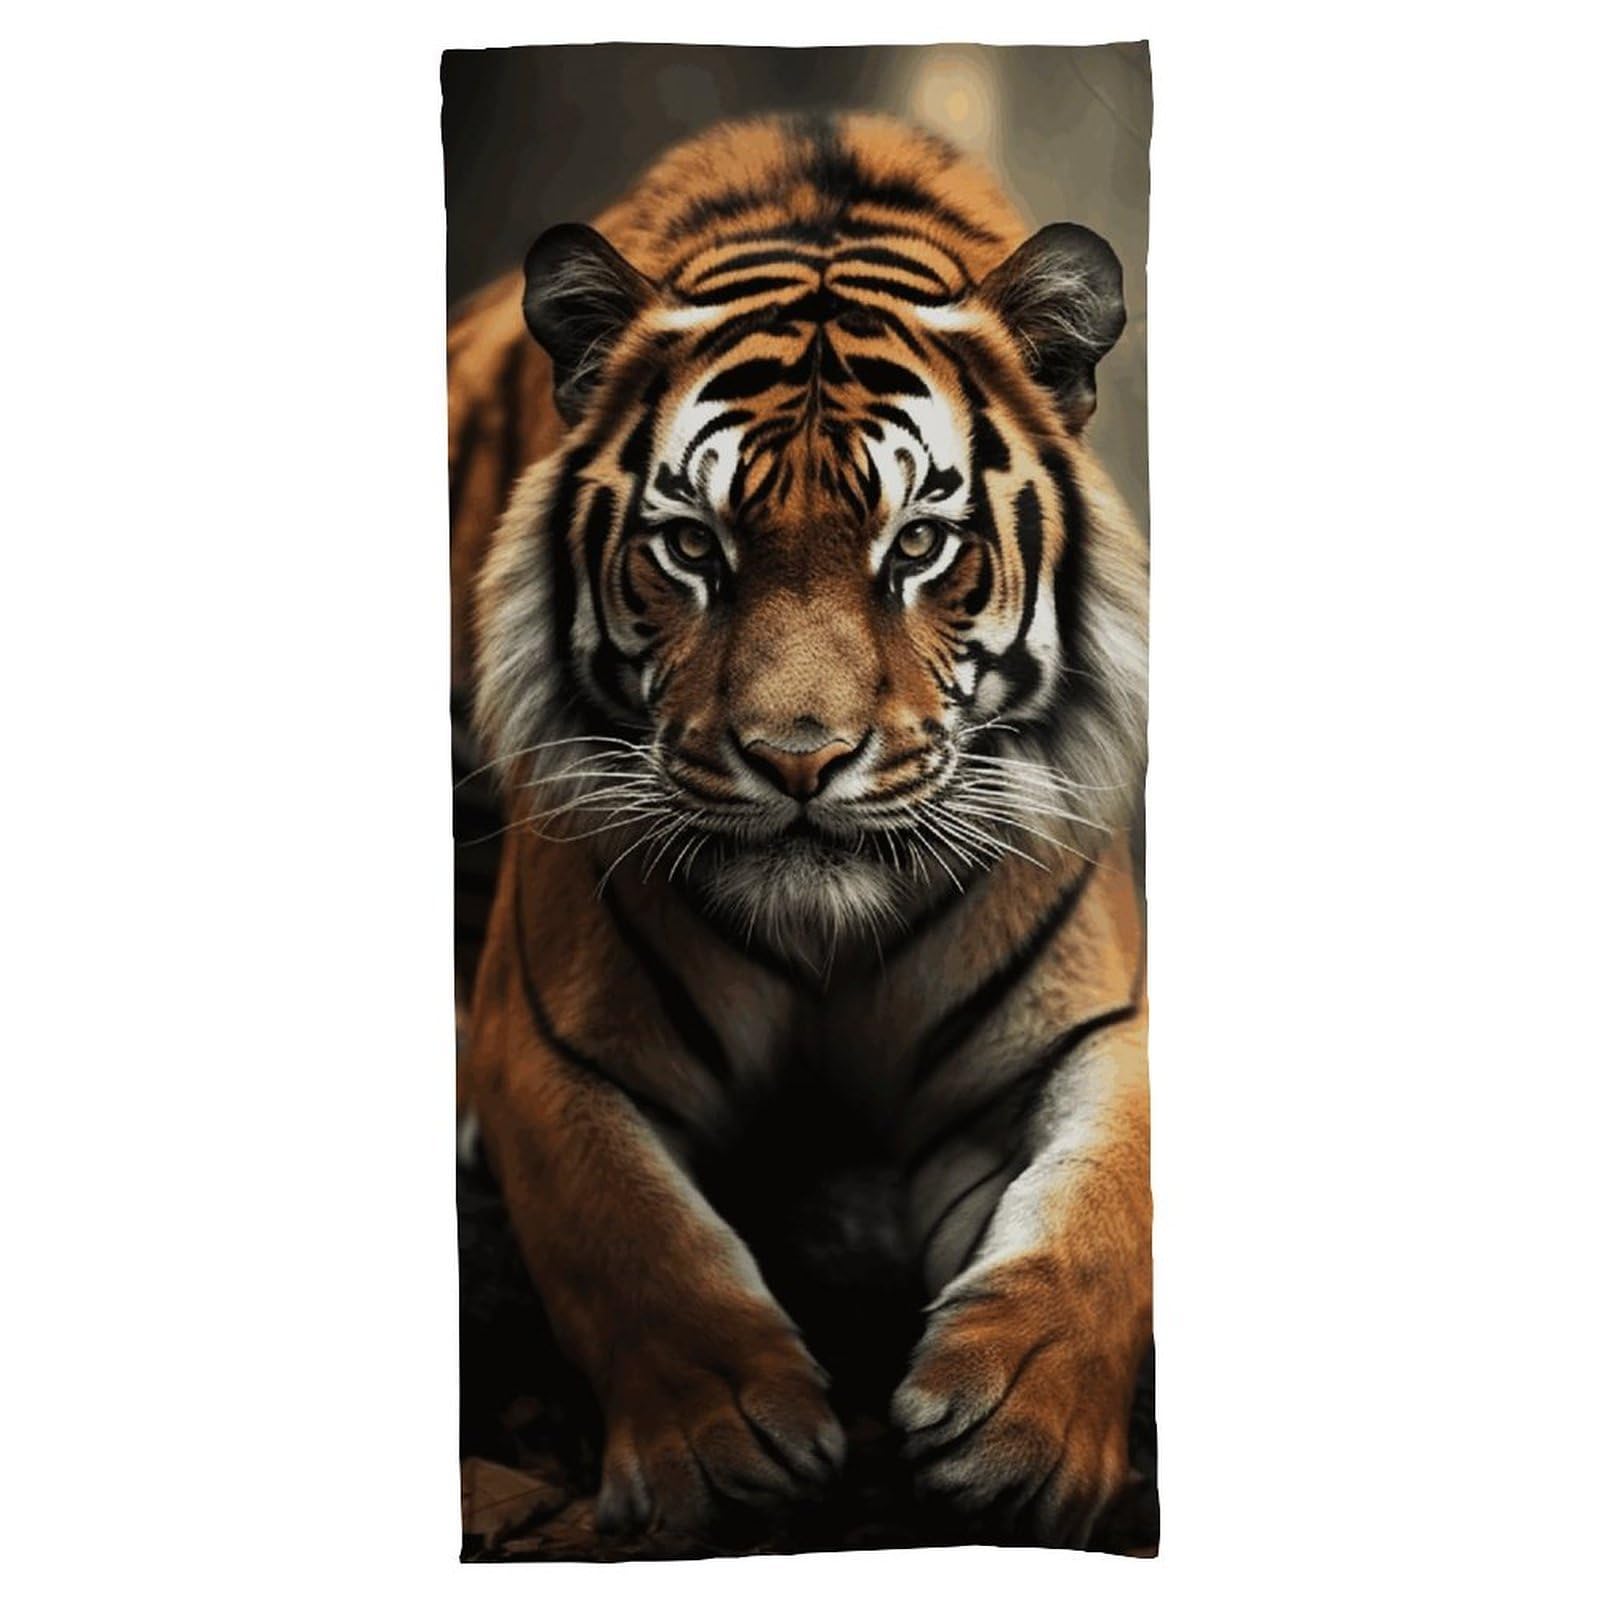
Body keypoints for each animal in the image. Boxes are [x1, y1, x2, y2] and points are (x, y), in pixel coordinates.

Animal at [452, 112, 1150, 1550]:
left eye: (920, 545)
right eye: (691, 547)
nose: (799, 759)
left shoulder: (1086, 1026)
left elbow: (1108, 1203)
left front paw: (1027, 1433)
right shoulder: (548, 1041)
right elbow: (630, 1234)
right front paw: (723, 1448)